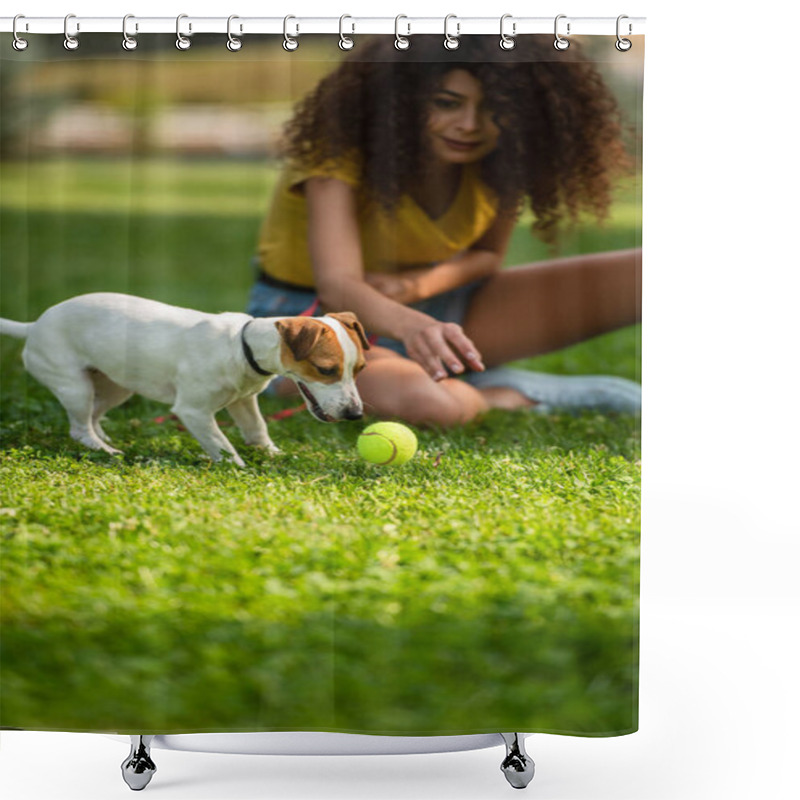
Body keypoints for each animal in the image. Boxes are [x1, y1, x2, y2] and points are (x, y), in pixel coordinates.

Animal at [0, 296, 368, 466]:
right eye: (326, 370)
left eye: (360, 369)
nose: (356, 415)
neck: (241, 346)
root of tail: (34, 325)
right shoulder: (194, 412)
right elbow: (222, 444)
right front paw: (240, 467)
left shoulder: (244, 400)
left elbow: (257, 429)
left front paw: (273, 454)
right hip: (75, 386)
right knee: (79, 427)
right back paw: (104, 448)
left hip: (116, 385)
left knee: (94, 413)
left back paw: (103, 435)